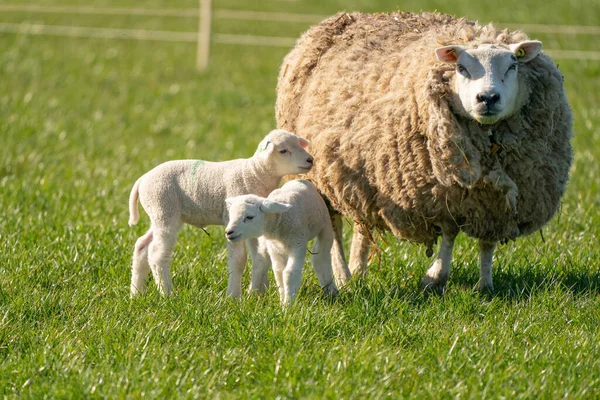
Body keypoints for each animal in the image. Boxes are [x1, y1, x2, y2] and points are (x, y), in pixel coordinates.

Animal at [127, 129, 314, 296]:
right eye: (283, 151)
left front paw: (256, 294)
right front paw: (234, 296)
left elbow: (260, 257)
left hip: (160, 215)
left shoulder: (254, 224)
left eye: (299, 144)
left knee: (141, 245)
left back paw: (136, 293)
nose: (310, 159)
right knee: (157, 253)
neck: (253, 174)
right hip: (164, 209)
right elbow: (239, 259)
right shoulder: (232, 219)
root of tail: (142, 179)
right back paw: (167, 293)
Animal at [276, 12, 572, 292]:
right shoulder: (441, 194)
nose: (488, 98)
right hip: (320, 176)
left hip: (360, 179)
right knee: (334, 228)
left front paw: (485, 285)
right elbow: (450, 235)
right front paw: (436, 278)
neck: (488, 147)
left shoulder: (492, 204)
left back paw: (358, 270)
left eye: (512, 65)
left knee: (362, 224)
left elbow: (487, 244)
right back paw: (343, 276)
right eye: (461, 68)